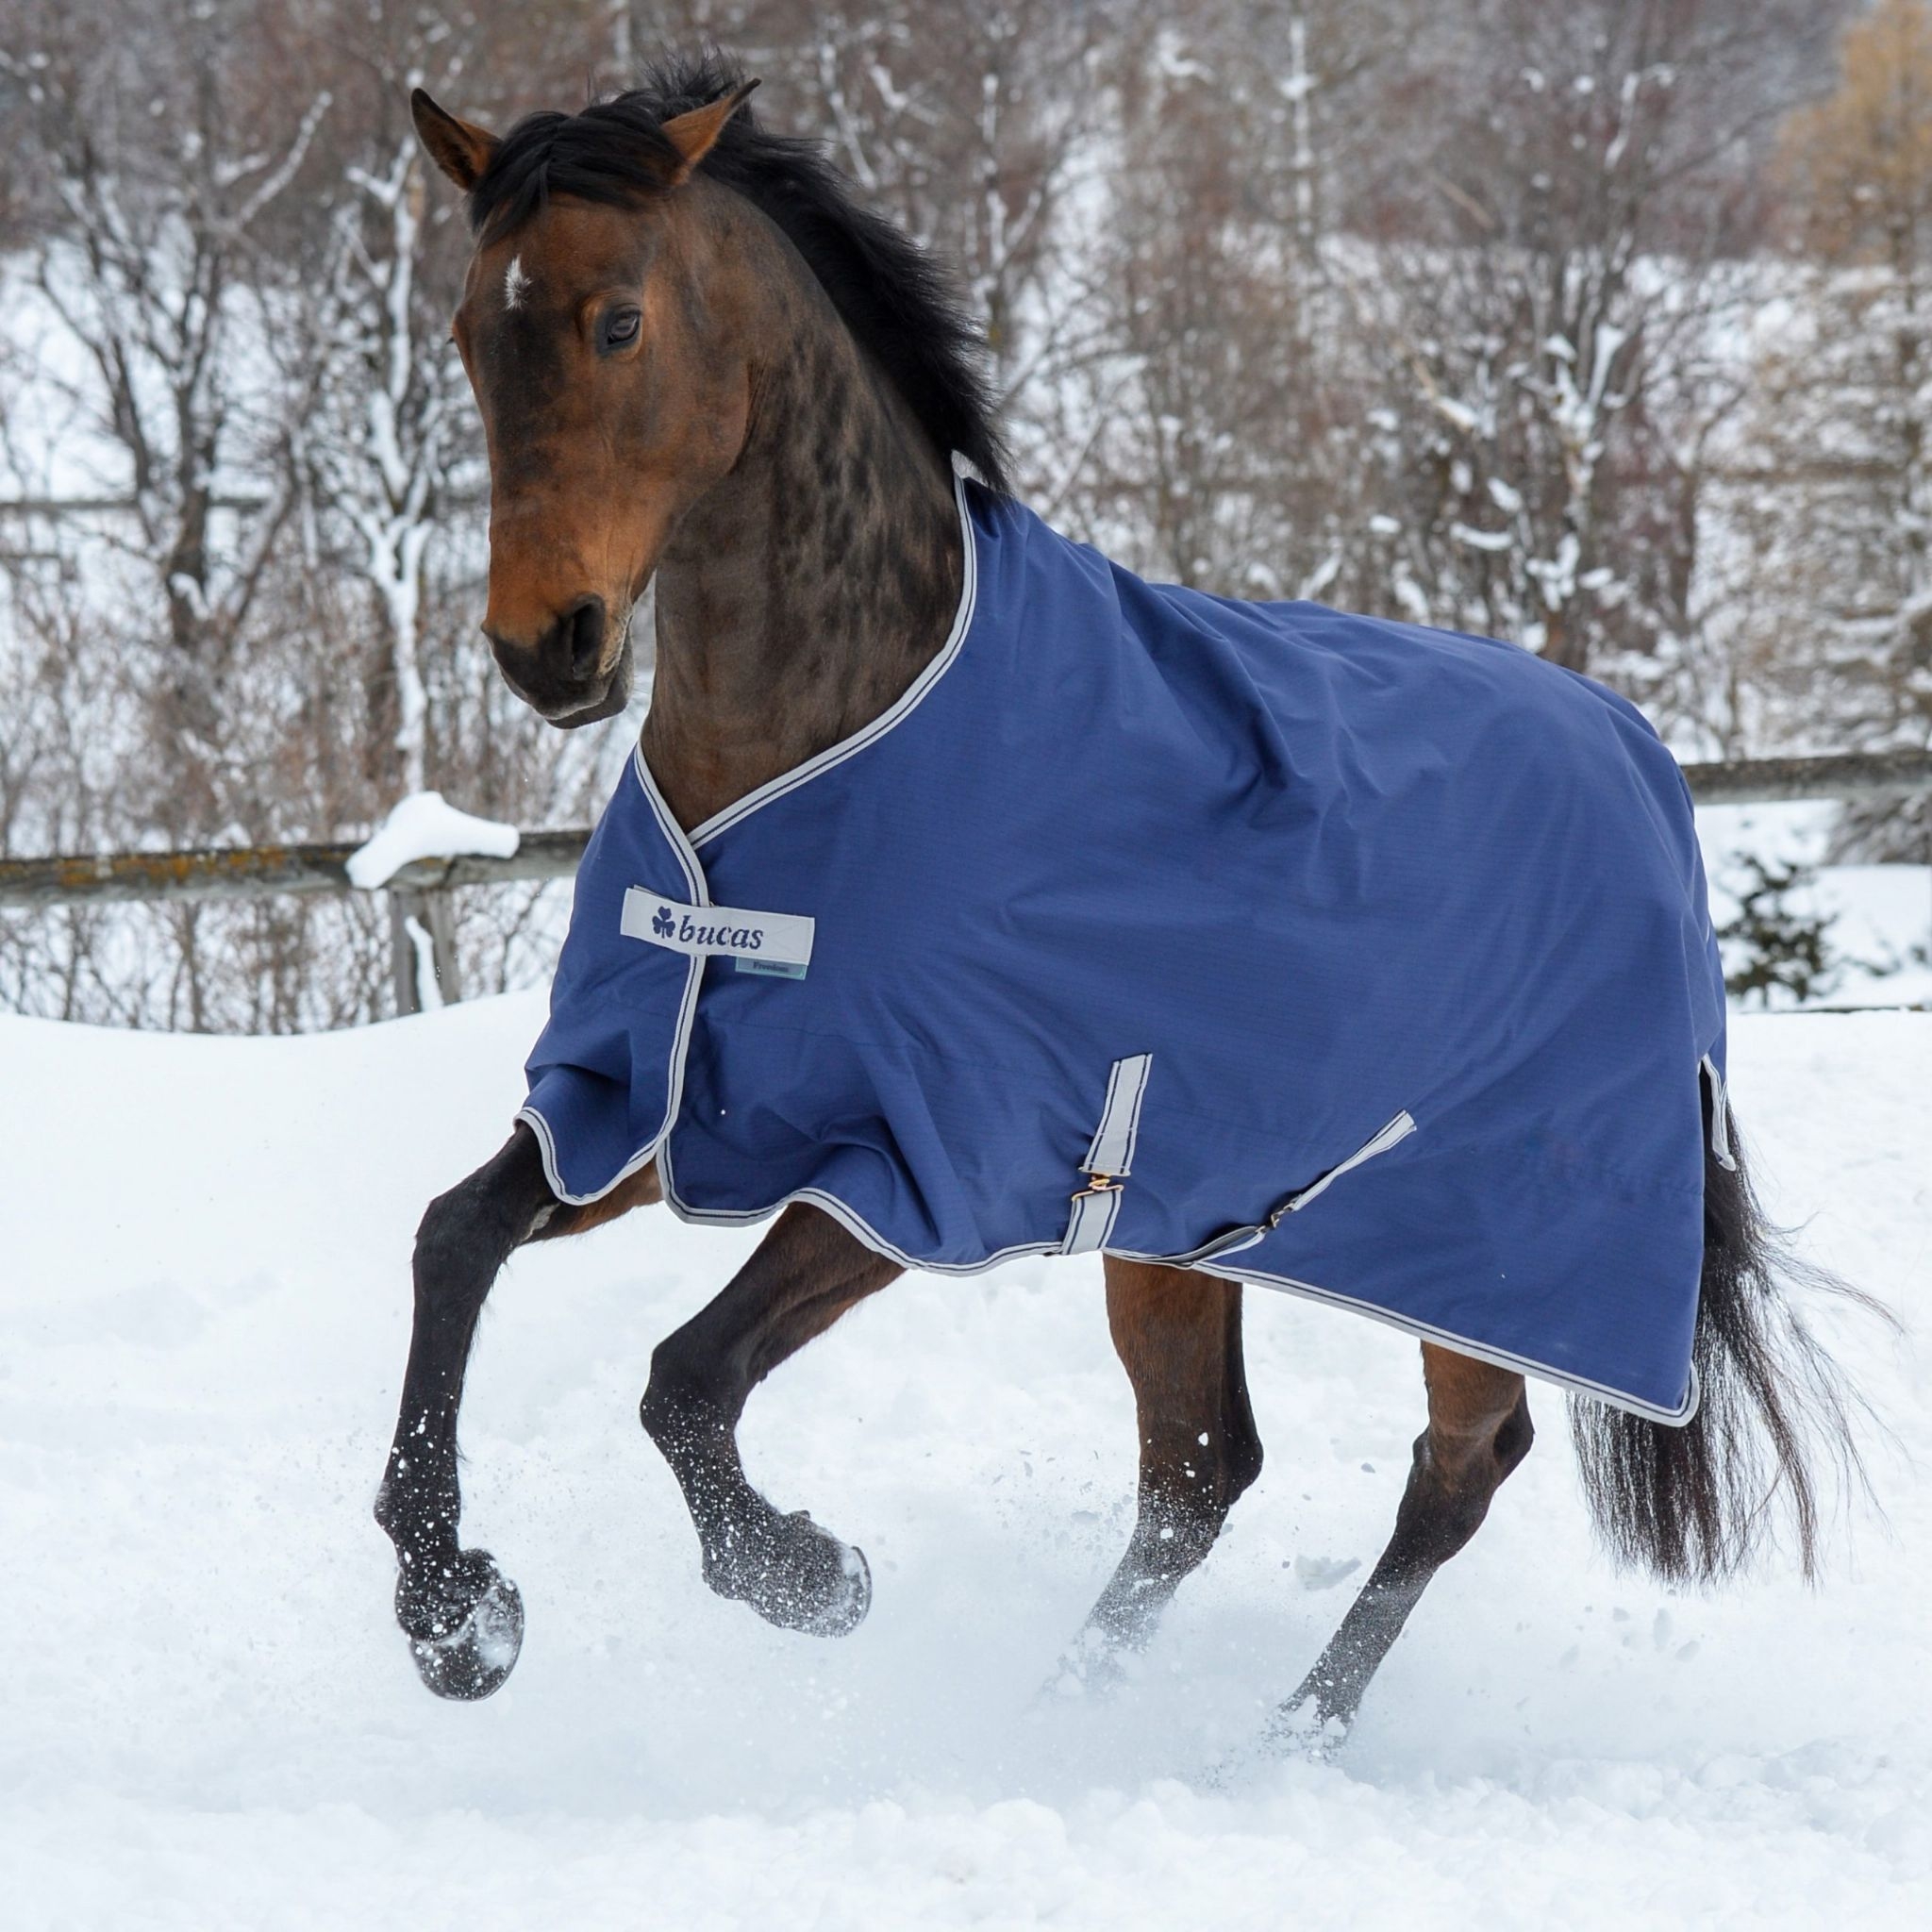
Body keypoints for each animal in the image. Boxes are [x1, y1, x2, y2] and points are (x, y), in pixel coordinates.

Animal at [374, 56, 1863, 1749]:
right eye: (468, 330)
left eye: (617, 319)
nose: (543, 645)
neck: (812, 753)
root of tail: (1646, 767)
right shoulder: (655, 1098)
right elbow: (452, 1241)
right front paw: (454, 1614)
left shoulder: (912, 1166)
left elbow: (684, 1379)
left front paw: (810, 1574)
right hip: (1179, 1227)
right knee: (1199, 1472)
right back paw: (1060, 1712)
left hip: (1487, 1247)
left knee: (1457, 1466)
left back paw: (1283, 1738)